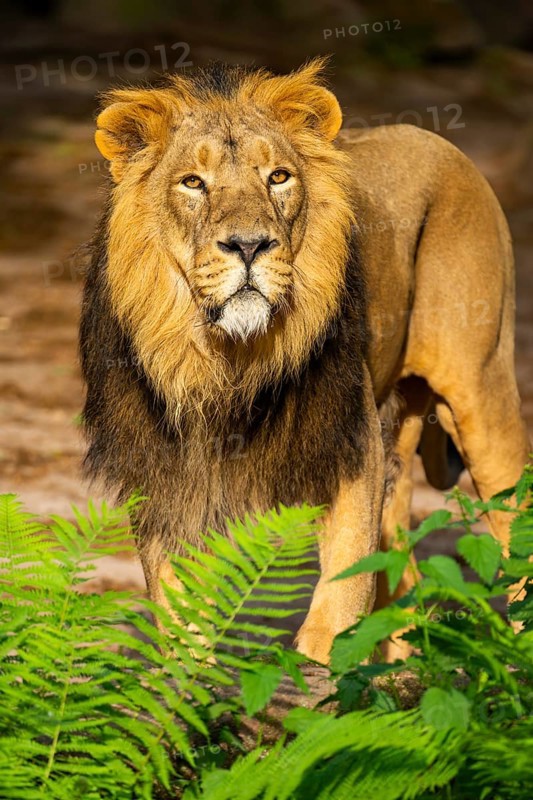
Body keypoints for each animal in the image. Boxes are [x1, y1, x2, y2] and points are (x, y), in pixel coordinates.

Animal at [80, 59, 530, 664]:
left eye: (278, 177)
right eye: (193, 182)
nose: (249, 246)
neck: (230, 357)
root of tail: (439, 142)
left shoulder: (347, 442)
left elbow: (340, 602)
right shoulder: (167, 471)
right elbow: (182, 618)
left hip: (481, 391)